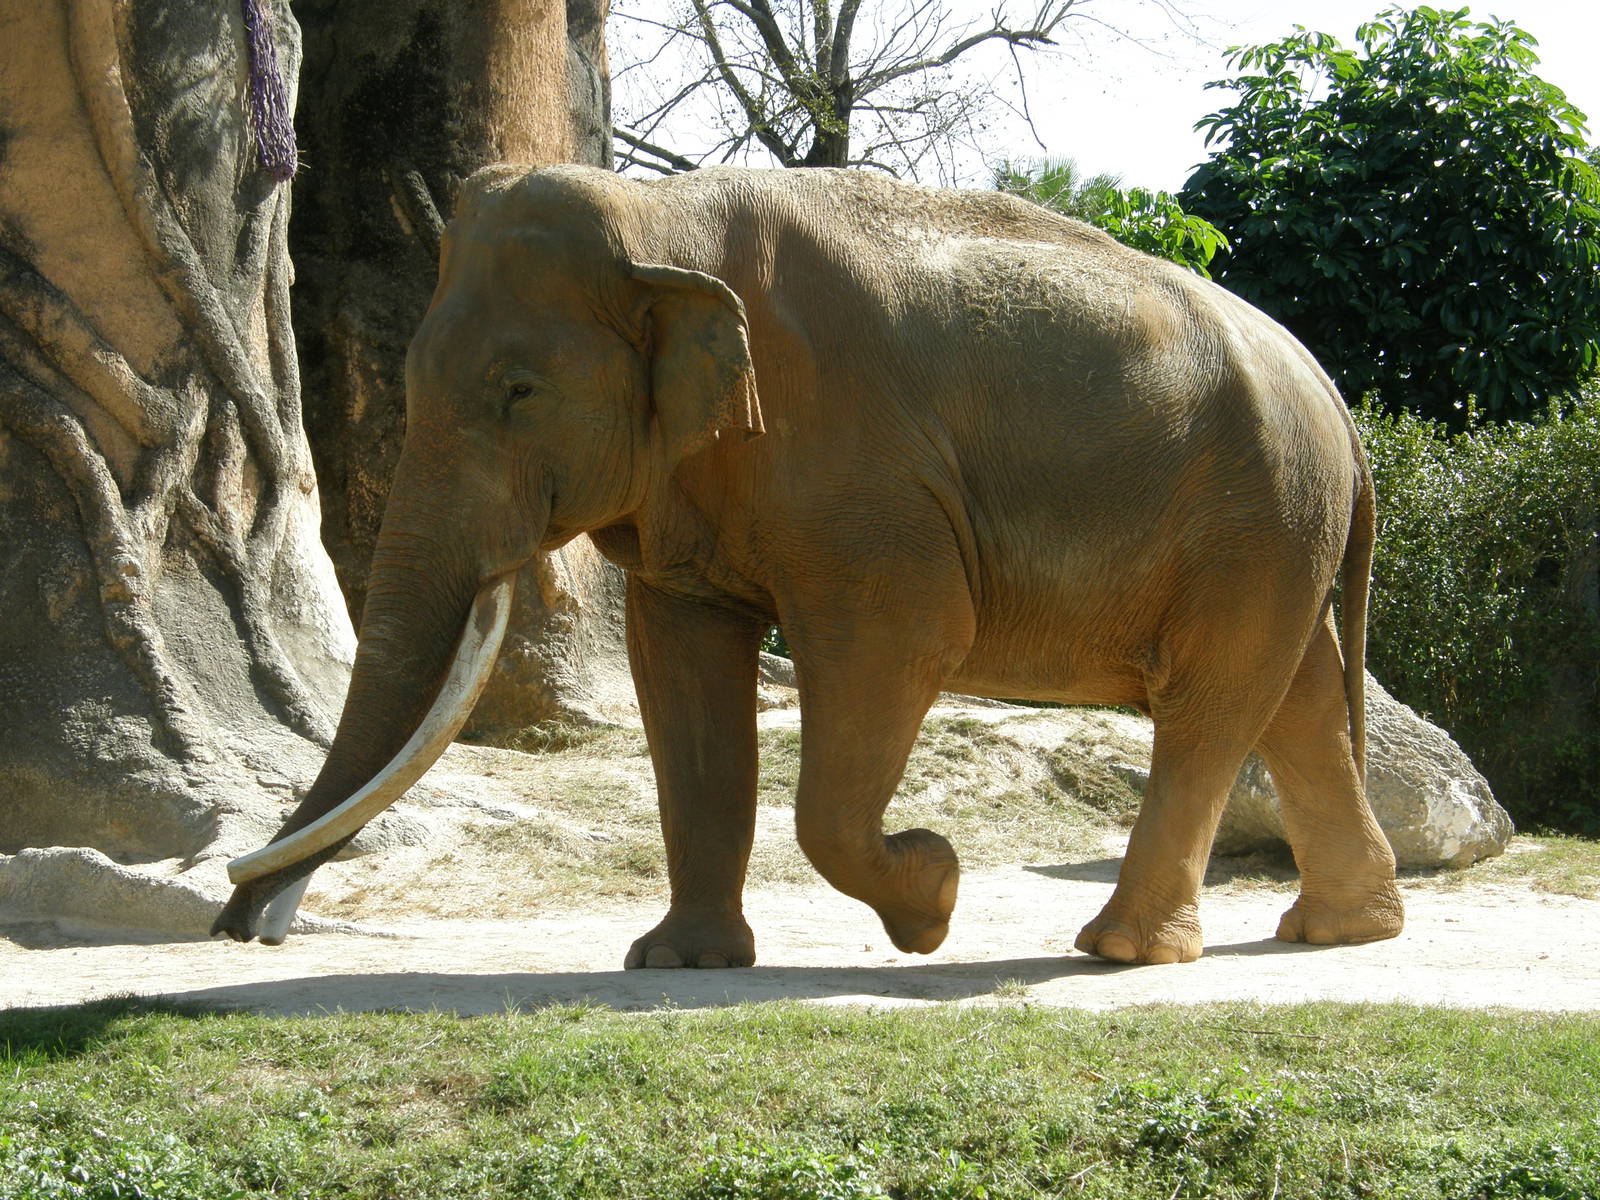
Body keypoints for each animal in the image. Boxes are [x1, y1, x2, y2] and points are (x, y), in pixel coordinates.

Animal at [213, 164, 1405, 967]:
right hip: (1274, 532)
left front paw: (932, 895)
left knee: (1211, 703)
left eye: (517, 392)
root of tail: (1337, 403)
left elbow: (903, 642)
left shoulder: (859, 474)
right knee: (1293, 697)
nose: (244, 926)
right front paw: (679, 963)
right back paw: (1340, 931)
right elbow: (680, 667)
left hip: (1256, 515)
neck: (659, 215)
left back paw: (1120, 951)